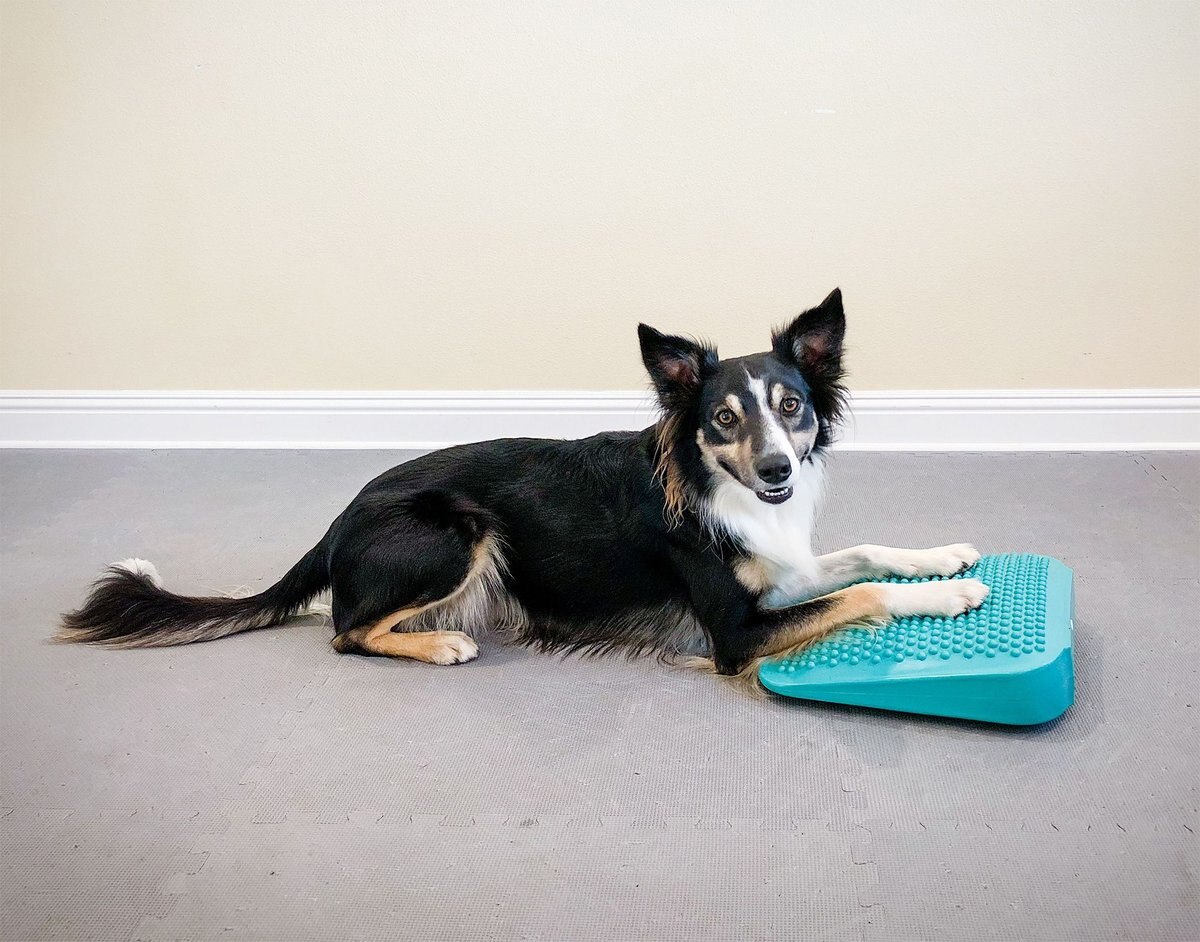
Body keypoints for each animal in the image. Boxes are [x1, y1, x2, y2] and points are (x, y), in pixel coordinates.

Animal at [58, 290, 984, 681]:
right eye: (722, 419)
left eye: (791, 406)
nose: (777, 471)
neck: (714, 484)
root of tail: (340, 519)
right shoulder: (731, 631)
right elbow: (859, 595)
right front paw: (950, 595)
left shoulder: (779, 566)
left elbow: (860, 554)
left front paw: (945, 557)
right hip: (462, 528)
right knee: (347, 631)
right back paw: (439, 643)